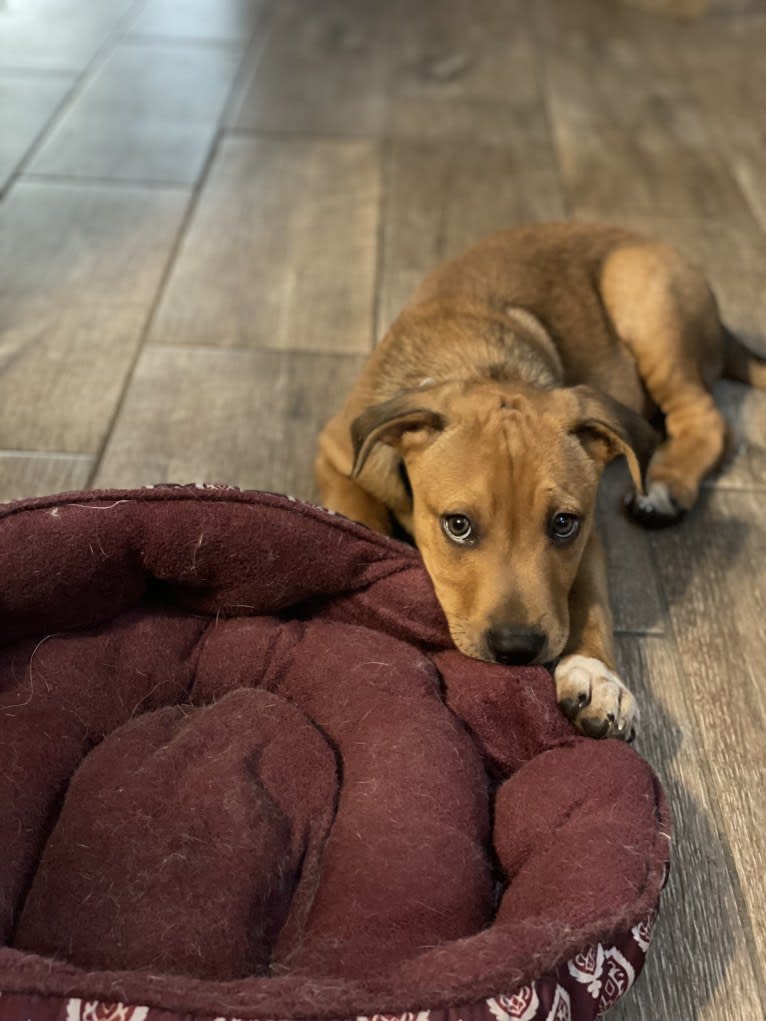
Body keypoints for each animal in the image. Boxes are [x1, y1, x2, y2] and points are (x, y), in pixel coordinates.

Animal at [314, 223, 763, 739]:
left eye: (563, 524)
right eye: (457, 525)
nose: (517, 648)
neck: (479, 363)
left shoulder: (589, 535)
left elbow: (590, 600)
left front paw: (597, 678)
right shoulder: (337, 451)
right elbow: (357, 511)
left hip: (646, 299)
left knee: (707, 417)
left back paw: (666, 486)